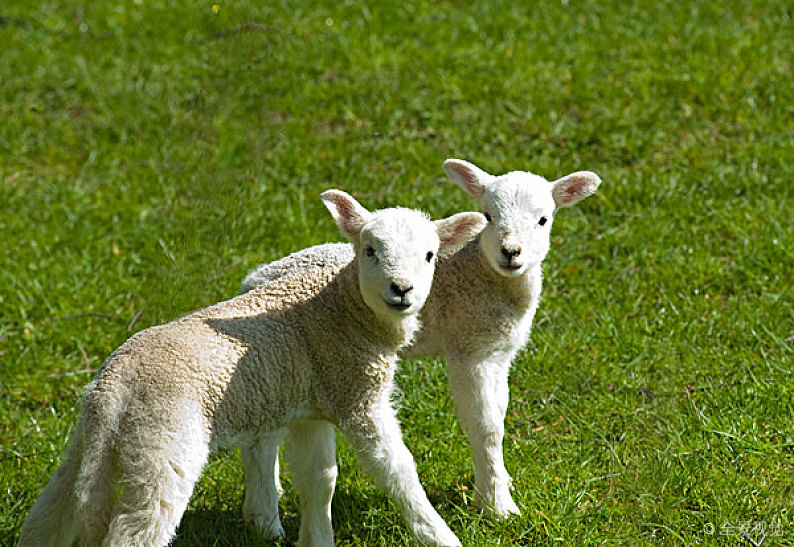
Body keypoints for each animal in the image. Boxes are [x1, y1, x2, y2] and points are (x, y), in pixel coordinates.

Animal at [20, 192, 482, 547]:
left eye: (430, 256)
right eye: (369, 250)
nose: (401, 290)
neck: (341, 310)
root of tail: (116, 385)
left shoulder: (312, 404)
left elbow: (319, 478)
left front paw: (316, 538)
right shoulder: (358, 397)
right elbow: (399, 472)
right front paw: (441, 536)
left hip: (93, 441)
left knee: (49, 513)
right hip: (164, 443)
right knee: (136, 531)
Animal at [241, 158, 600, 524]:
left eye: (543, 220)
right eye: (488, 216)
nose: (510, 252)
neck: (480, 275)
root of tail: (253, 279)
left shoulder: (498, 352)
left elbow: (499, 415)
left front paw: (501, 480)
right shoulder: (468, 351)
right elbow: (486, 427)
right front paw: (497, 506)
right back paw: (264, 512)